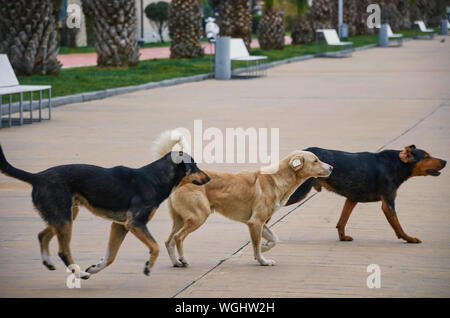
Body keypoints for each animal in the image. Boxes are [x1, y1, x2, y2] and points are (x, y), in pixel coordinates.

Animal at [0, 140, 209, 280]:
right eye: (194, 165)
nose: (208, 178)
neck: (155, 178)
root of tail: (37, 177)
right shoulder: (135, 223)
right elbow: (155, 247)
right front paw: (148, 267)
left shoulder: (120, 225)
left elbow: (111, 256)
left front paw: (95, 267)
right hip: (64, 219)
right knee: (62, 251)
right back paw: (79, 273)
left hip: (64, 216)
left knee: (42, 235)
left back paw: (50, 263)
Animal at [160, 134, 332, 266]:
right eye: (315, 160)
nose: (331, 168)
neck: (277, 178)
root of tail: (181, 179)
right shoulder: (256, 222)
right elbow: (256, 245)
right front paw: (262, 260)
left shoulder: (261, 222)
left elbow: (274, 239)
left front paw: (265, 247)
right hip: (198, 216)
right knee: (178, 238)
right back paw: (183, 259)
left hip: (180, 219)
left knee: (169, 241)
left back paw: (176, 262)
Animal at [286, 145, 444, 242]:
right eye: (426, 157)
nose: (445, 161)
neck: (396, 164)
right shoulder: (388, 203)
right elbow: (398, 225)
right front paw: (408, 238)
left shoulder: (352, 199)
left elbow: (342, 221)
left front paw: (343, 237)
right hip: (297, 193)